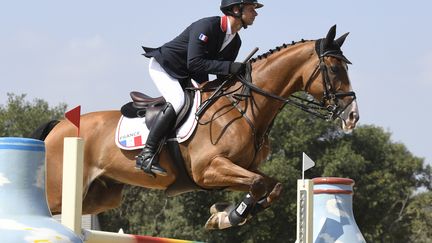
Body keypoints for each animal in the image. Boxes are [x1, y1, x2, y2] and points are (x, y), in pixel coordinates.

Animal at [33, 25, 358, 229]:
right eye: (333, 69)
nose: (352, 116)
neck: (244, 109)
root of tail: (59, 127)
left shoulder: (235, 169)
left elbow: (270, 185)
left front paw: (224, 215)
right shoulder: (208, 169)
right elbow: (258, 184)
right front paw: (229, 217)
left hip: (99, 196)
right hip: (60, 190)